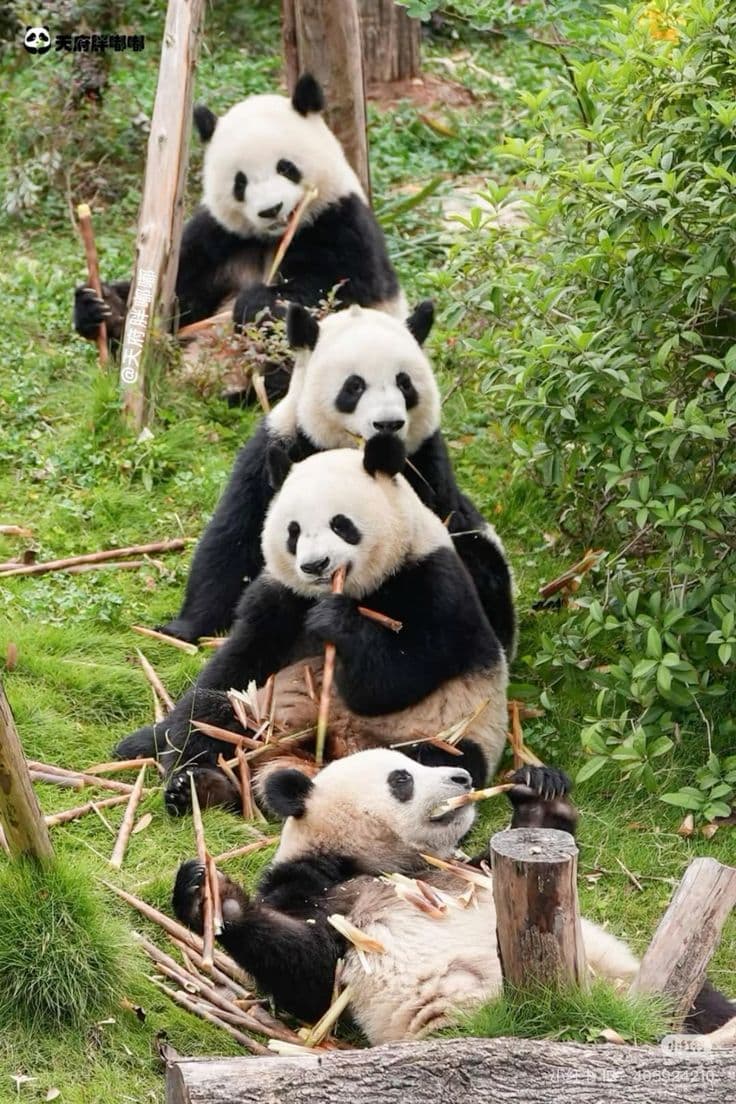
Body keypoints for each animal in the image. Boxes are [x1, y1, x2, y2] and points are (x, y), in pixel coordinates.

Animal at [73, 74, 402, 399]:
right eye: (240, 182)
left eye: (286, 167)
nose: (271, 210)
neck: (273, 238)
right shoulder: (218, 236)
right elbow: (180, 299)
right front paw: (103, 307)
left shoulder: (340, 220)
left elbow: (337, 288)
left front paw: (256, 304)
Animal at [116, 437, 509, 812]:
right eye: (294, 532)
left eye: (341, 524)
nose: (315, 565)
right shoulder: (283, 596)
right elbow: (236, 665)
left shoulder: (434, 582)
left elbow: (400, 676)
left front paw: (337, 623)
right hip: (261, 715)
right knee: (219, 716)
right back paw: (200, 786)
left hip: (448, 732)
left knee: (436, 760)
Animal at [157, 302, 516, 659]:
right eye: (354, 386)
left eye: (404, 383)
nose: (388, 424)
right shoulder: (281, 446)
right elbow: (234, 538)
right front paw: (182, 628)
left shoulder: (426, 465)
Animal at [172, 750, 735, 1043]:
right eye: (402, 778)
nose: (463, 776)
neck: (393, 865)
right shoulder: (315, 887)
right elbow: (312, 979)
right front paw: (211, 896)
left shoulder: (472, 871)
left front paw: (538, 786)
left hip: (625, 976)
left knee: (698, 1004)